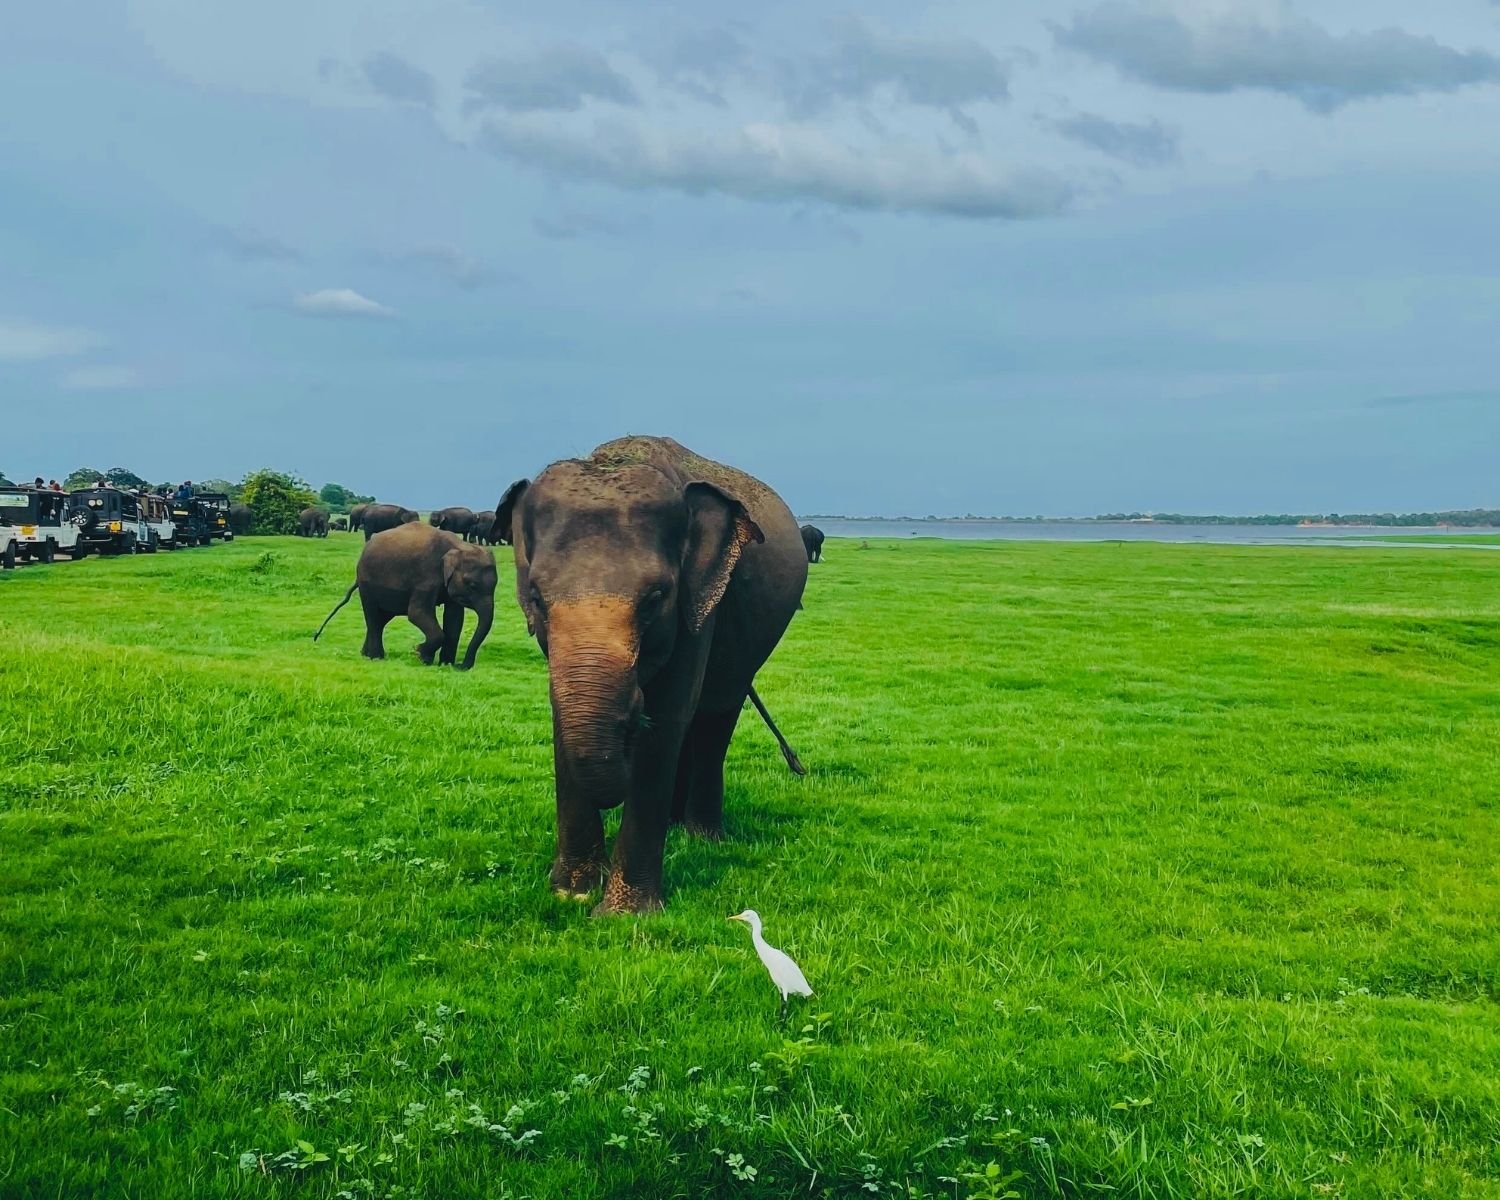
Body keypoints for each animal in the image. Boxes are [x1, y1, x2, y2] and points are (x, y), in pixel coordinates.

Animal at [314, 523, 497, 670]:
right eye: (472, 585)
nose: (461, 666)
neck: (460, 546)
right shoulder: (425, 578)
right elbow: (417, 613)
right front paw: (419, 654)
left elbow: (455, 618)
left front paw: (445, 665)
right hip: (367, 584)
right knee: (372, 616)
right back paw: (376, 657)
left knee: (381, 619)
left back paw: (365, 654)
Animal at [492, 434, 808, 915]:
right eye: (537, 597)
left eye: (656, 598)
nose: (629, 715)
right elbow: (563, 714)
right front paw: (572, 893)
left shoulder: (701, 605)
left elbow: (666, 723)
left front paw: (624, 913)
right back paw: (677, 827)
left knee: (714, 717)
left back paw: (701, 837)